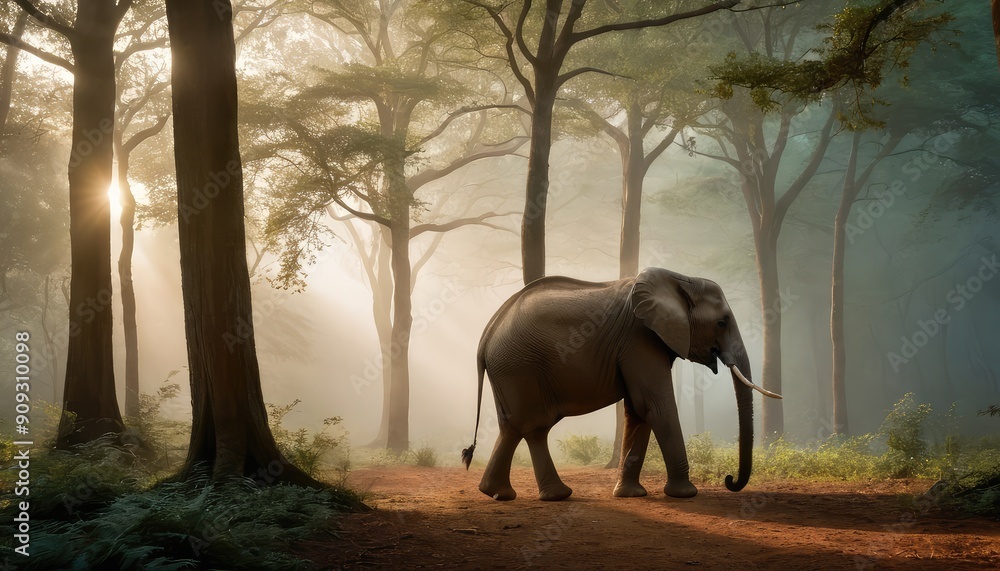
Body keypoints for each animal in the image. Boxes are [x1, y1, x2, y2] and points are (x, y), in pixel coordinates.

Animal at [461, 267, 781, 501]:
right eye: (722, 323)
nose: (729, 479)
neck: (680, 278)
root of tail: (487, 334)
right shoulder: (639, 339)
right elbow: (654, 405)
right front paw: (685, 494)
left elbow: (638, 410)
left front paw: (630, 495)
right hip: (519, 367)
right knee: (533, 426)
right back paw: (552, 495)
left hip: (509, 371)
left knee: (514, 427)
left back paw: (498, 494)